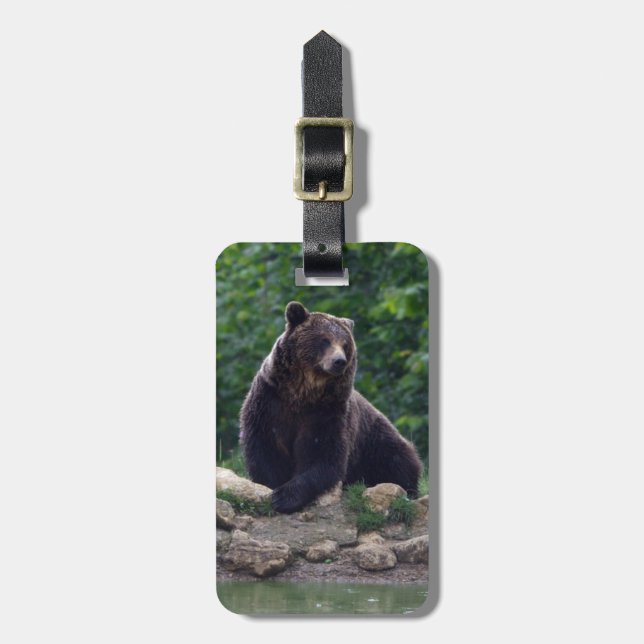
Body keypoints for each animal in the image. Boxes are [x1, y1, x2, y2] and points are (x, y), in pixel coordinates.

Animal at [240, 301, 423, 514]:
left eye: (345, 344)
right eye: (324, 340)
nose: (339, 361)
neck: (302, 393)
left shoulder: (327, 412)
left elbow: (324, 455)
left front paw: (284, 496)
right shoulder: (269, 402)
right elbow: (265, 449)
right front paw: (272, 488)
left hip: (376, 442)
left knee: (398, 462)